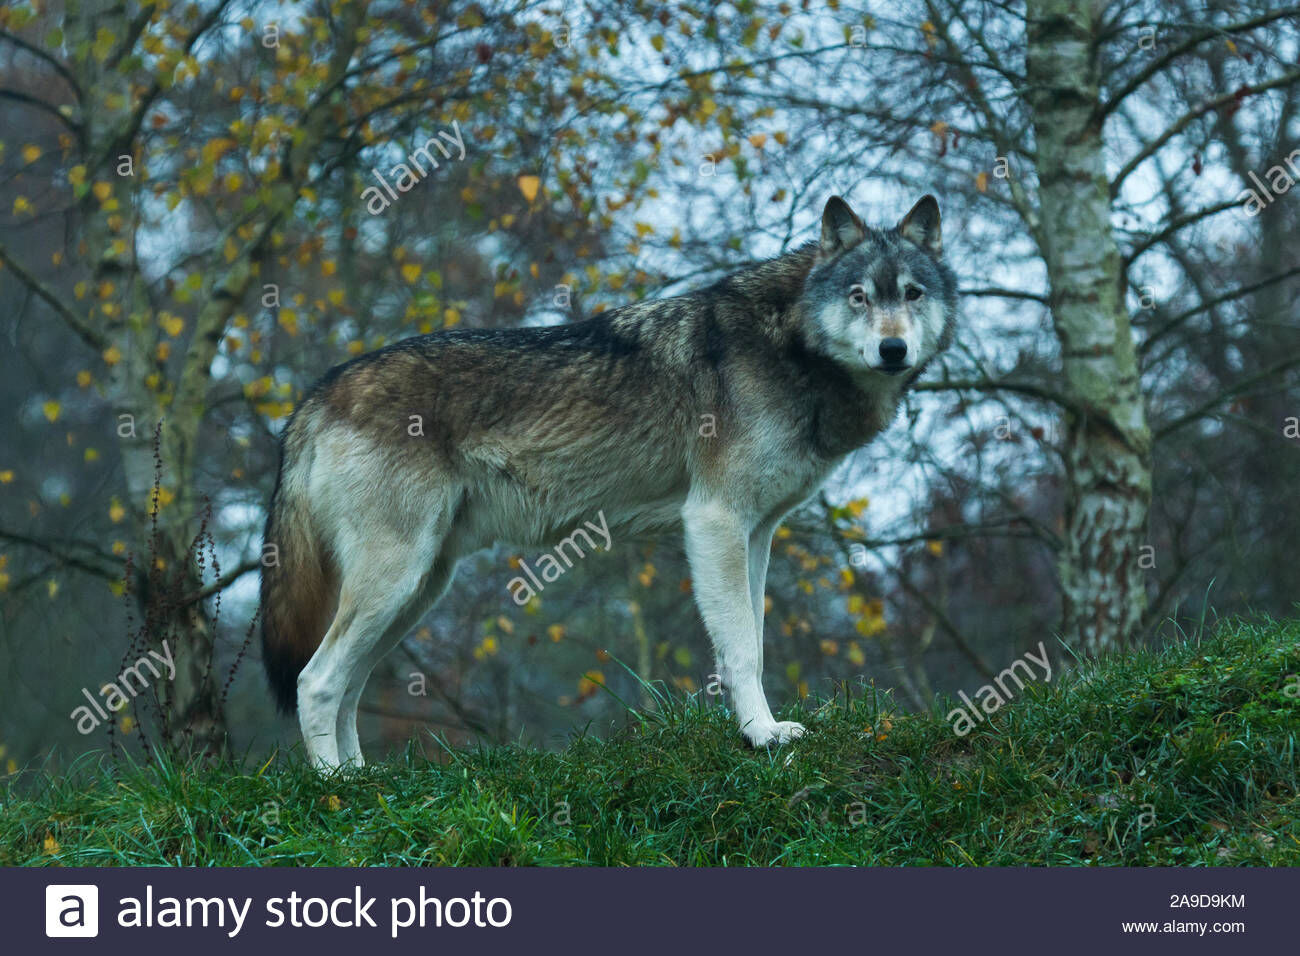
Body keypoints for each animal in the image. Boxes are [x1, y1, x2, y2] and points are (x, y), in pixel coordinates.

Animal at [261, 196, 956, 770]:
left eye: (913, 294)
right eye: (860, 296)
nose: (893, 350)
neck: (790, 343)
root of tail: (313, 397)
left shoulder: (757, 533)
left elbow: (752, 637)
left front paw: (763, 727)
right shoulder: (714, 521)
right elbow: (742, 649)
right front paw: (760, 736)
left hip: (419, 588)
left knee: (348, 685)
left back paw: (363, 779)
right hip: (397, 578)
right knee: (315, 680)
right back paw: (336, 788)